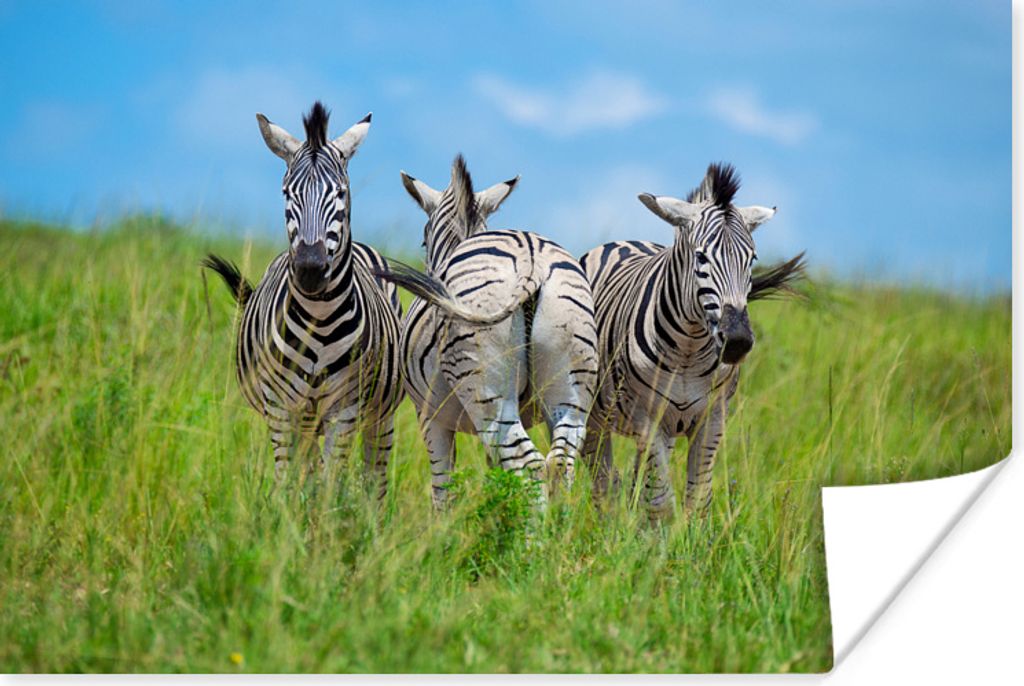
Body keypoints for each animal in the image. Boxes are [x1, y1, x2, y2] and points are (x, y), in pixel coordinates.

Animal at [203, 102, 403, 496]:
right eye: (286, 193)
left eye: (340, 192)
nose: (310, 268)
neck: (319, 318)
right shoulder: (281, 408)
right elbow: (289, 485)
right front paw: (288, 515)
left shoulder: (344, 409)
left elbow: (330, 485)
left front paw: (330, 515)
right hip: (306, 418)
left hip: (378, 413)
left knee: (374, 478)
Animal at [376, 156, 599, 508]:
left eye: (423, 241)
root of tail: (531, 259)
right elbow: (498, 477)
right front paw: (499, 514)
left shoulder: (429, 417)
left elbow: (443, 486)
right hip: (571, 389)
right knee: (560, 463)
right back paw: (557, 525)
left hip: (487, 392)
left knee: (530, 465)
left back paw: (535, 527)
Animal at [578, 162, 804, 521]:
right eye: (700, 258)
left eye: (752, 259)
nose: (737, 341)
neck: (689, 349)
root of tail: (623, 242)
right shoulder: (647, 418)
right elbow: (660, 503)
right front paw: (658, 539)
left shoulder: (712, 419)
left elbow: (696, 501)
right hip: (593, 416)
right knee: (604, 484)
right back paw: (607, 526)